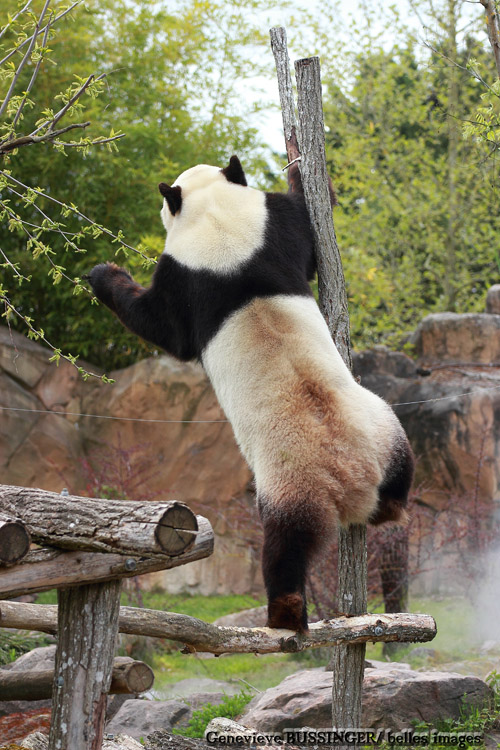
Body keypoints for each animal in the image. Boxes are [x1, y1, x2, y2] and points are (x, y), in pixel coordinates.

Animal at [87, 154, 414, 636]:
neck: (216, 218)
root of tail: (354, 479)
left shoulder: (187, 274)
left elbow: (163, 326)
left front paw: (104, 274)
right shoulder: (270, 230)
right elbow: (307, 231)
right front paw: (302, 167)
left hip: (290, 477)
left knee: (285, 546)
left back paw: (285, 613)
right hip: (382, 427)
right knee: (401, 470)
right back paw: (391, 507)